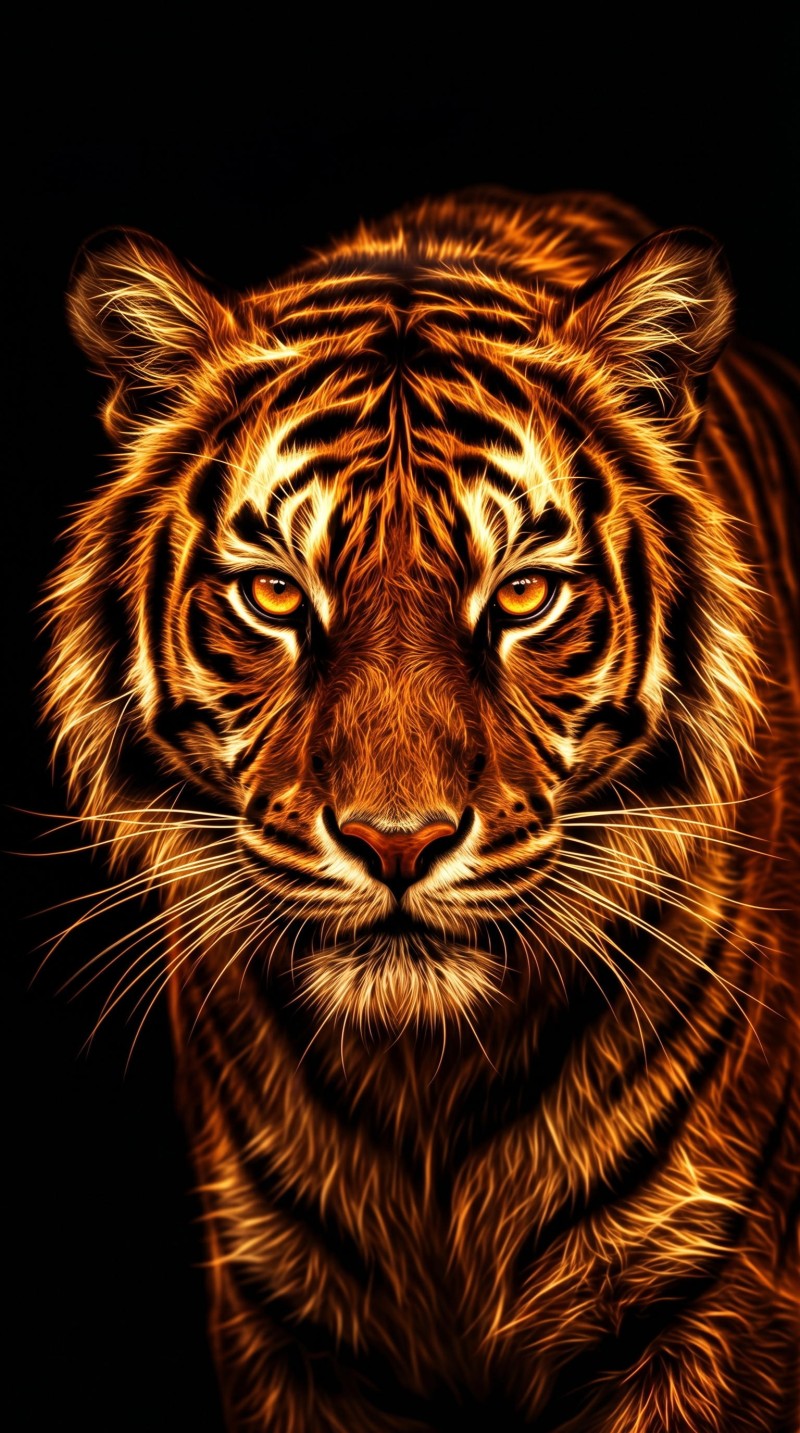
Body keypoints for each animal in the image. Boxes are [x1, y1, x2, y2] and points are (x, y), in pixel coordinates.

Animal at [44, 188, 799, 1431]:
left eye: (524, 594)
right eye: (273, 593)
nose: (395, 843)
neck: (425, 1093)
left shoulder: (711, 1298)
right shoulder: (286, 1323)